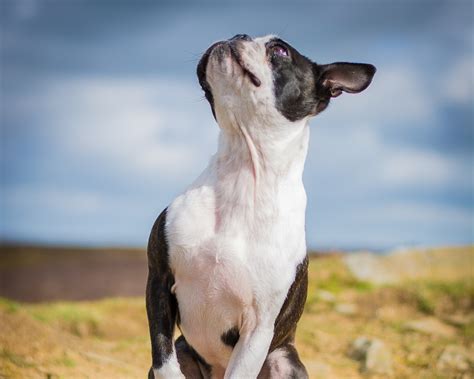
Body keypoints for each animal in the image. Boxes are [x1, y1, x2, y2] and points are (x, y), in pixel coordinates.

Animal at [146, 34, 376, 378]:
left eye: (280, 50)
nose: (235, 36)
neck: (243, 173)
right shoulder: (159, 280)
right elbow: (163, 358)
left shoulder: (259, 327)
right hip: (186, 348)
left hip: (282, 360)